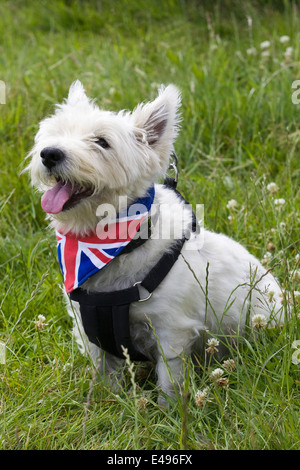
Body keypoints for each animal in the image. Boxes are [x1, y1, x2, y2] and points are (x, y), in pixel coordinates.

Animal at [27, 81, 282, 404]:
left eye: (102, 142)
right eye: (55, 133)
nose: (49, 154)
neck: (115, 246)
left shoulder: (171, 331)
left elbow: (169, 383)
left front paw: (169, 411)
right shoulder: (92, 333)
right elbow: (105, 377)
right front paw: (106, 403)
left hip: (262, 317)